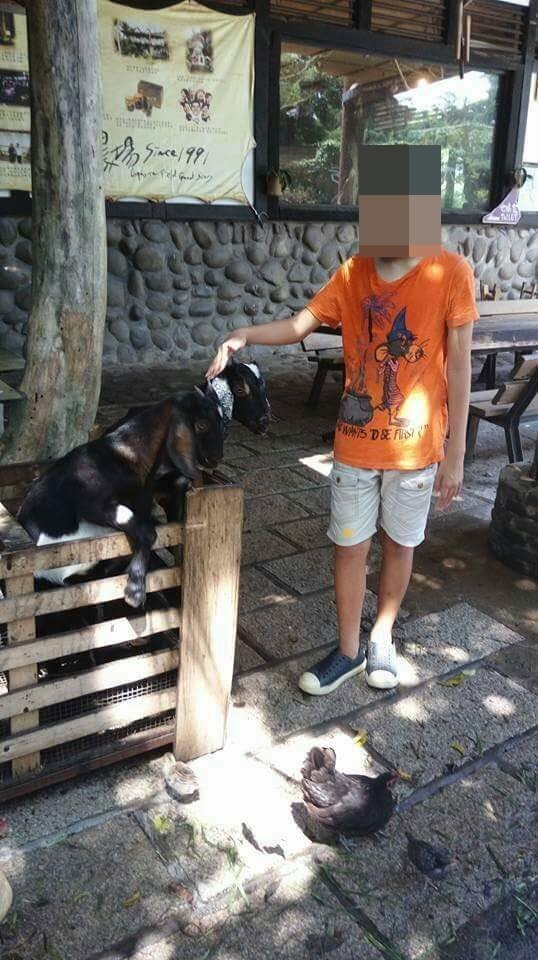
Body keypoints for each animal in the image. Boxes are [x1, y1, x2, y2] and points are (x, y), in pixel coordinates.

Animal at [17, 386, 225, 609]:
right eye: (201, 425)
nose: (217, 458)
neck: (125, 454)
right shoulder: (94, 504)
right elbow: (147, 530)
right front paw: (135, 592)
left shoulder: (147, 492)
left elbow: (176, 484)